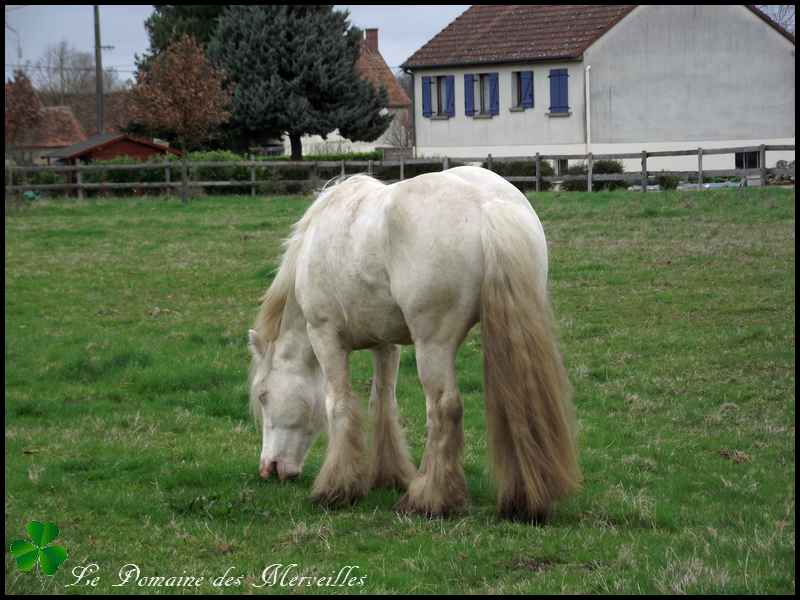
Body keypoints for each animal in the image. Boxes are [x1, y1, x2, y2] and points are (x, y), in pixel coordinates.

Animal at [247, 165, 580, 520]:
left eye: (264, 396)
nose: (269, 468)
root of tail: (487, 203)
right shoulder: (385, 345)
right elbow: (382, 403)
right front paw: (387, 475)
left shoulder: (325, 337)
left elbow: (338, 404)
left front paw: (336, 489)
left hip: (432, 344)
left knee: (444, 409)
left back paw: (429, 499)